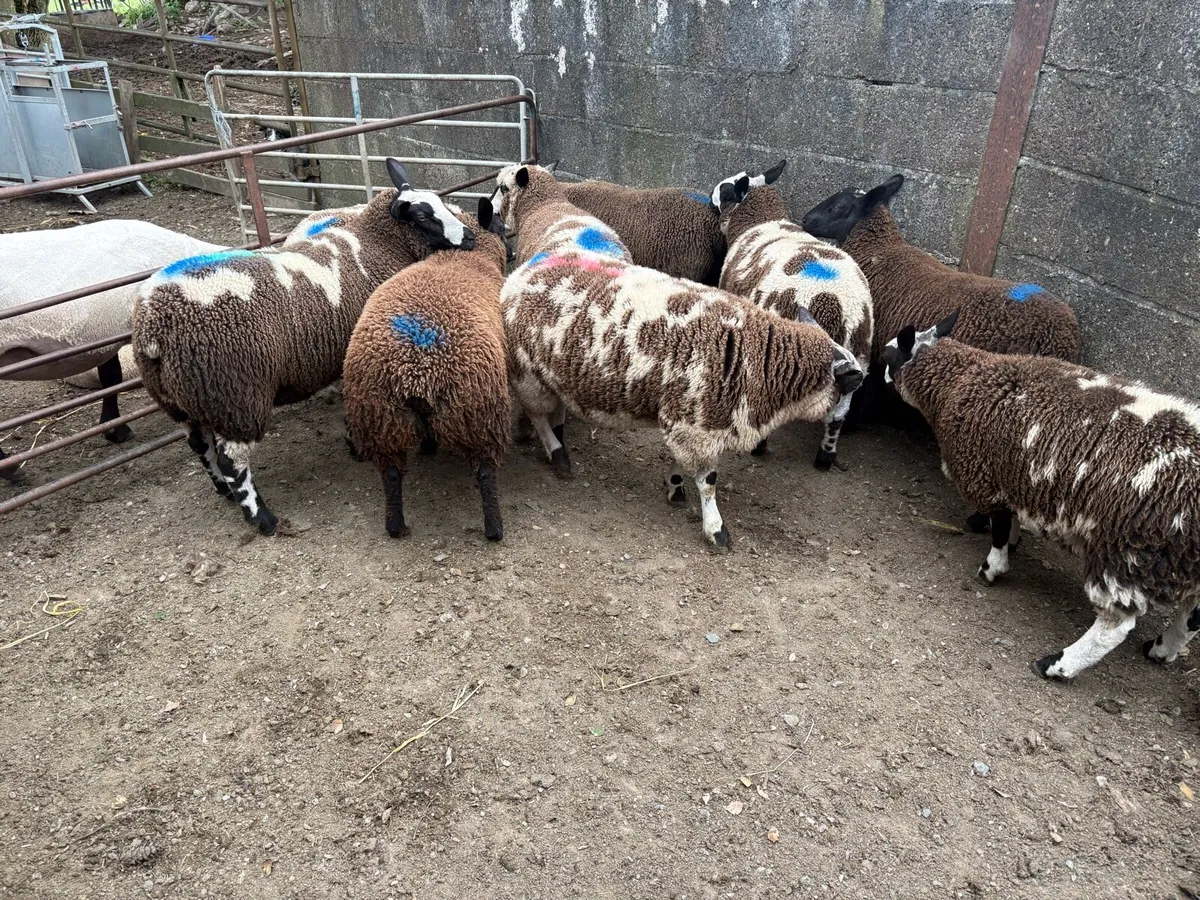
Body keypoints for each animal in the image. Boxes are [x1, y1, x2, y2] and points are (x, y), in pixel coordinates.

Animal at [132, 159, 477, 535]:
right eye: (425, 216)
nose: (471, 237)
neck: (377, 242)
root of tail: (153, 324)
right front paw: (356, 443)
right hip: (234, 394)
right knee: (231, 459)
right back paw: (261, 517)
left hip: (185, 399)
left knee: (200, 445)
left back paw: (224, 492)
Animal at [342, 199, 511, 541]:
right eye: (500, 226)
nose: (513, 251)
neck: (469, 257)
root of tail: (417, 372)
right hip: (480, 412)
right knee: (486, 472)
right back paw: (494, 529)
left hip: (381, 418)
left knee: (392, 473)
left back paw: (396, 525)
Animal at [713, 160, 873, 469]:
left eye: (726, 191)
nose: (710, 197)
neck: (762, 220)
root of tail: (833, 302)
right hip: (859, 352)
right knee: (838, 415)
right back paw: (825, 457)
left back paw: (760, 446)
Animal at [883, 311, 1200, 682]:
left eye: (889, 355)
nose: (877, 373)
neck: (961, 379)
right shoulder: (1012, 477)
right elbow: (1009, 522)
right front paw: (1010, 541)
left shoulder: (989, 477)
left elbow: (1000, 529)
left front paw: (991, 570)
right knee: (1192, 618)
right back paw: (1160, 650)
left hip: (1130, 550)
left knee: (1115, 626)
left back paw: (1056, 664)